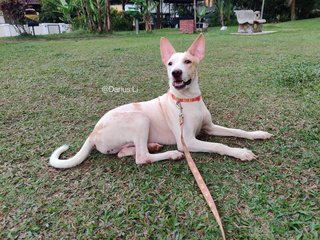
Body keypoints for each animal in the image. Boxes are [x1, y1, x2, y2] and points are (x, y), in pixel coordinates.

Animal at [50, 33, 272, 169]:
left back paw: (152, 146)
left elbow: (238, 131)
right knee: (141, 158)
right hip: (139, 118)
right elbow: (219, 146)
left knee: (125, 153)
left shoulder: (208, 127)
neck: (187, 100)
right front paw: (240, 152)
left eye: (188, 61)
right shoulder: (187, 141)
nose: (175, 73)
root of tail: (93, 133)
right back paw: (169, 154)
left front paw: (257, 134)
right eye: (170, 63)